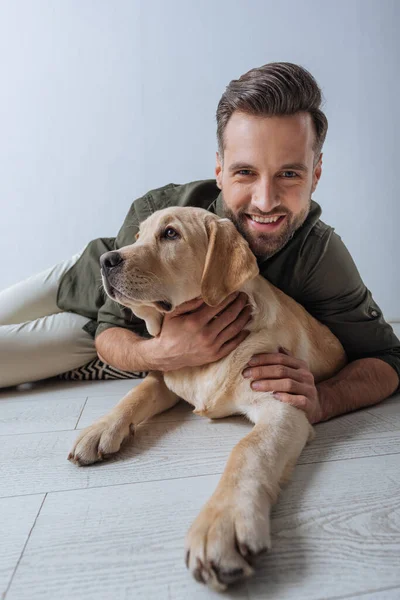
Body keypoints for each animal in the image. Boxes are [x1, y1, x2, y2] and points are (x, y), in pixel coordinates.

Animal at [67, 207, 346, 592]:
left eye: (170, 234)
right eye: (138, 236)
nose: (106, 260)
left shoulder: (282, 402)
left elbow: (247, 450)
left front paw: (222, 524)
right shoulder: (167, 374)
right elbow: (137, 392)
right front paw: (99, 430)